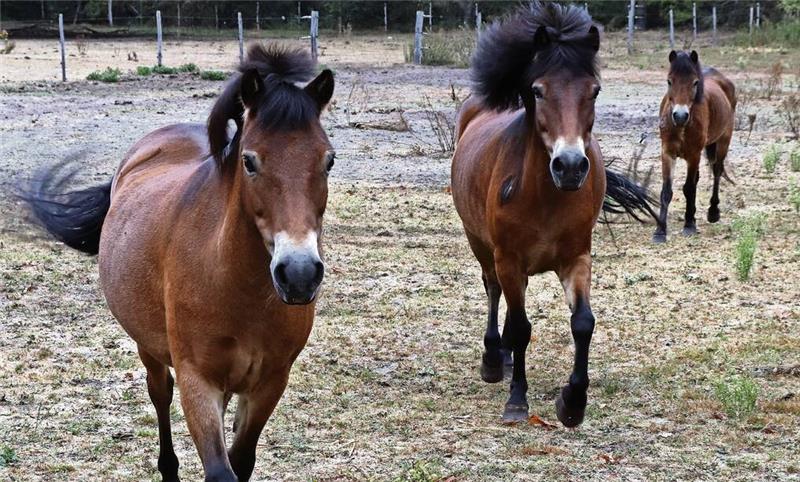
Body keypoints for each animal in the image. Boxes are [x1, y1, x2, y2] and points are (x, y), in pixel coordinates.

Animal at [21, 43, 334, 480]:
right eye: (249, 161)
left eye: (329, 161)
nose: (299, 274)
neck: (238, 287)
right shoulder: (196, 380)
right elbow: (220, 468)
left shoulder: (270, 382)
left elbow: (241, 461)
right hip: (149, 348)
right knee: (159, 394)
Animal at [450, 3, 656, 426]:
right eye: (538, 90)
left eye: (594, 91)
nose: (571, 166)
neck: (545, 196)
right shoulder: (508, 258)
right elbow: (520, 326)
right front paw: (517, 400)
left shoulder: (576, 257)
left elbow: (583, 323)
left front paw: (573, 402)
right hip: (480, 243)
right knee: (494, 291)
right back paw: (494, 358)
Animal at [652, 50, 736, 241]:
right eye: (669, 81)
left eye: (695, 82)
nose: (680, 115)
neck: (682, 127)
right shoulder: (667, 153)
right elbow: (666, 191)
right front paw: (660, 231)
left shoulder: (693, 155)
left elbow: (689, 188)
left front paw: (689, 225)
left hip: (723, 142)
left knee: (717, 171)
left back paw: (713, 212)